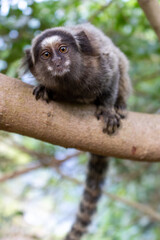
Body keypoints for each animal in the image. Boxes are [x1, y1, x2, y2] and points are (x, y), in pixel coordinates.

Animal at [21, 23, 131, 240]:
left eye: (63, 49)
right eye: (46, 55)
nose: (57, 61)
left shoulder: (101, 65)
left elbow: (114, 70)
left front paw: (108, 109)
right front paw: (44, 88)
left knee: (121, 64)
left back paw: (120, 105)